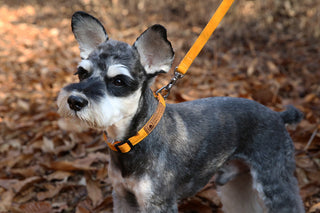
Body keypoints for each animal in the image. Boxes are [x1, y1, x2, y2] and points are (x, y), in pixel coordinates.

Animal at [57, 12, 304, 213]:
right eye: (82, 73)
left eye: (119, 81)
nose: (75, 101)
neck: (137, 136)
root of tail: (277, 116)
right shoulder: (124, 196)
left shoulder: (157, 202)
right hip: (238, 182)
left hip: (274, 180)